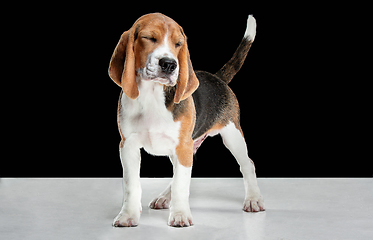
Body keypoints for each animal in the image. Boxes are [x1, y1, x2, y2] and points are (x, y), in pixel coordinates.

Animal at [107, 12, 264, 227]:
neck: (152, 96)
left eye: (178, 44)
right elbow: (131, 184)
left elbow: (181, 185)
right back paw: (165, 197)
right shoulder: (128, 145)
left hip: (231, 134)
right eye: (149, 38)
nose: (169, 64)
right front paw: (128, 215)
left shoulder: (183, 147)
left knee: (248, 164)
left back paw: (253, 199)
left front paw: (180, 215)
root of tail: (217, 78)